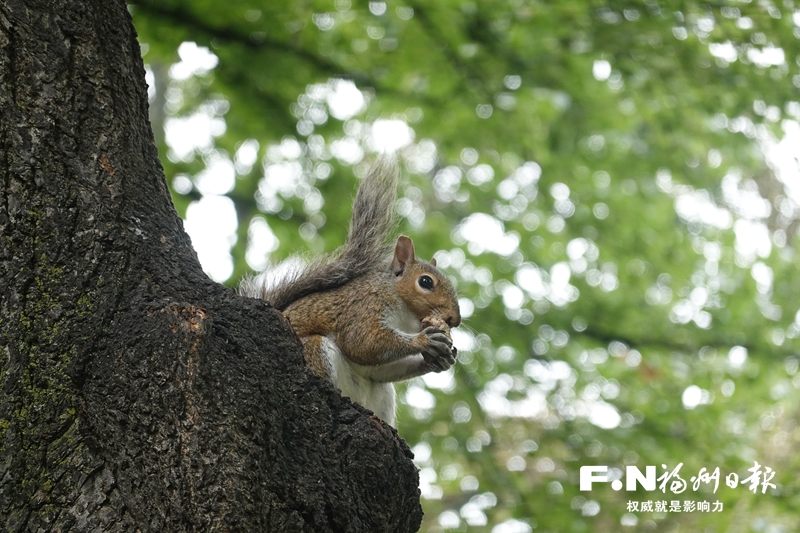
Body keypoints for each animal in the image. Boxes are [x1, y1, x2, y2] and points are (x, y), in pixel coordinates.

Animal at [238, 157, 460, 424]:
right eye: (426, 282)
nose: (454, 319)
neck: (404, 315)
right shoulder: (363, 307)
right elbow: (362, 341)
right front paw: (425, 340)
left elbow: (378, 368)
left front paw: (440, 359)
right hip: (315, 350)